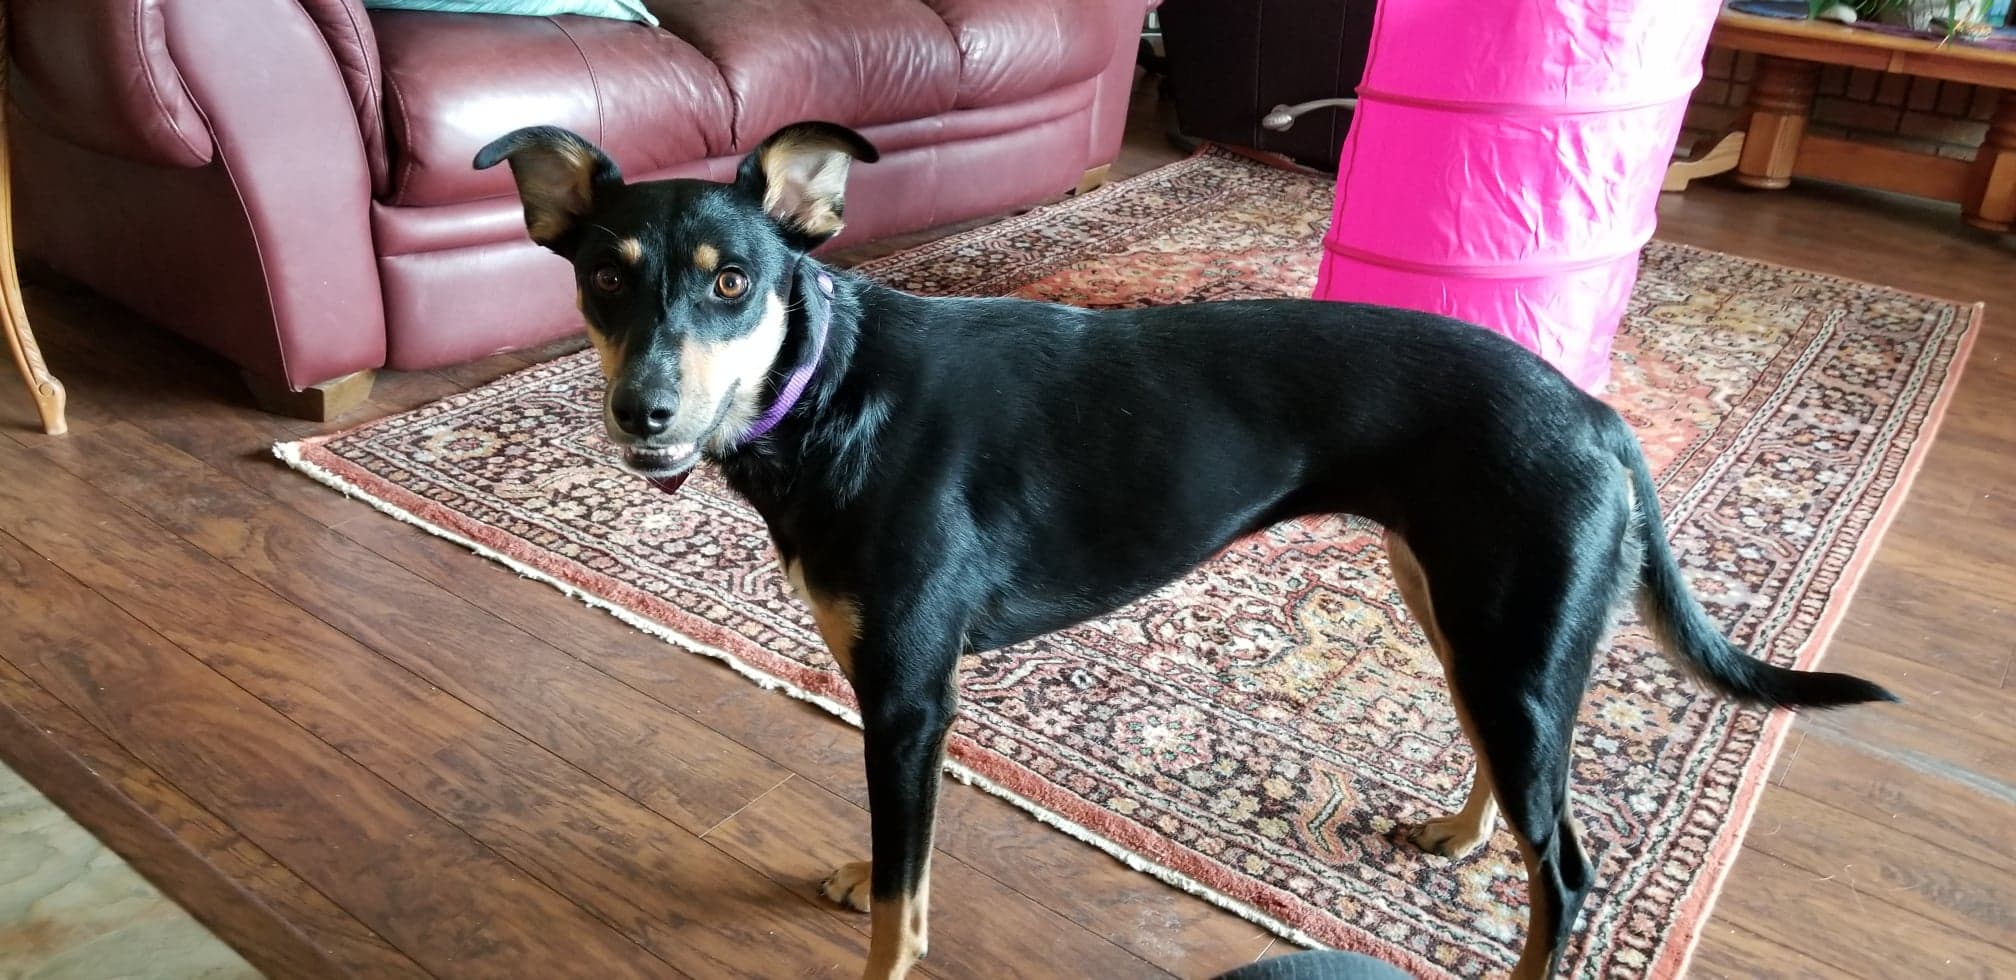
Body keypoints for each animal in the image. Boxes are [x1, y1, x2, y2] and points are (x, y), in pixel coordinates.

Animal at [479, 122, 1895, 980]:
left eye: (733, 283)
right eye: (604, 278)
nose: (642, 411)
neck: (826, 390)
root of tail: (1602, 415)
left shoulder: (910, 695)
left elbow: (902, 889)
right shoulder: (907, 700)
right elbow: (900, 859)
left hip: (1513, 634)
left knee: (1568, 867)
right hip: (1463, 610)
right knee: (1510, 783)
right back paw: (1458, 828)